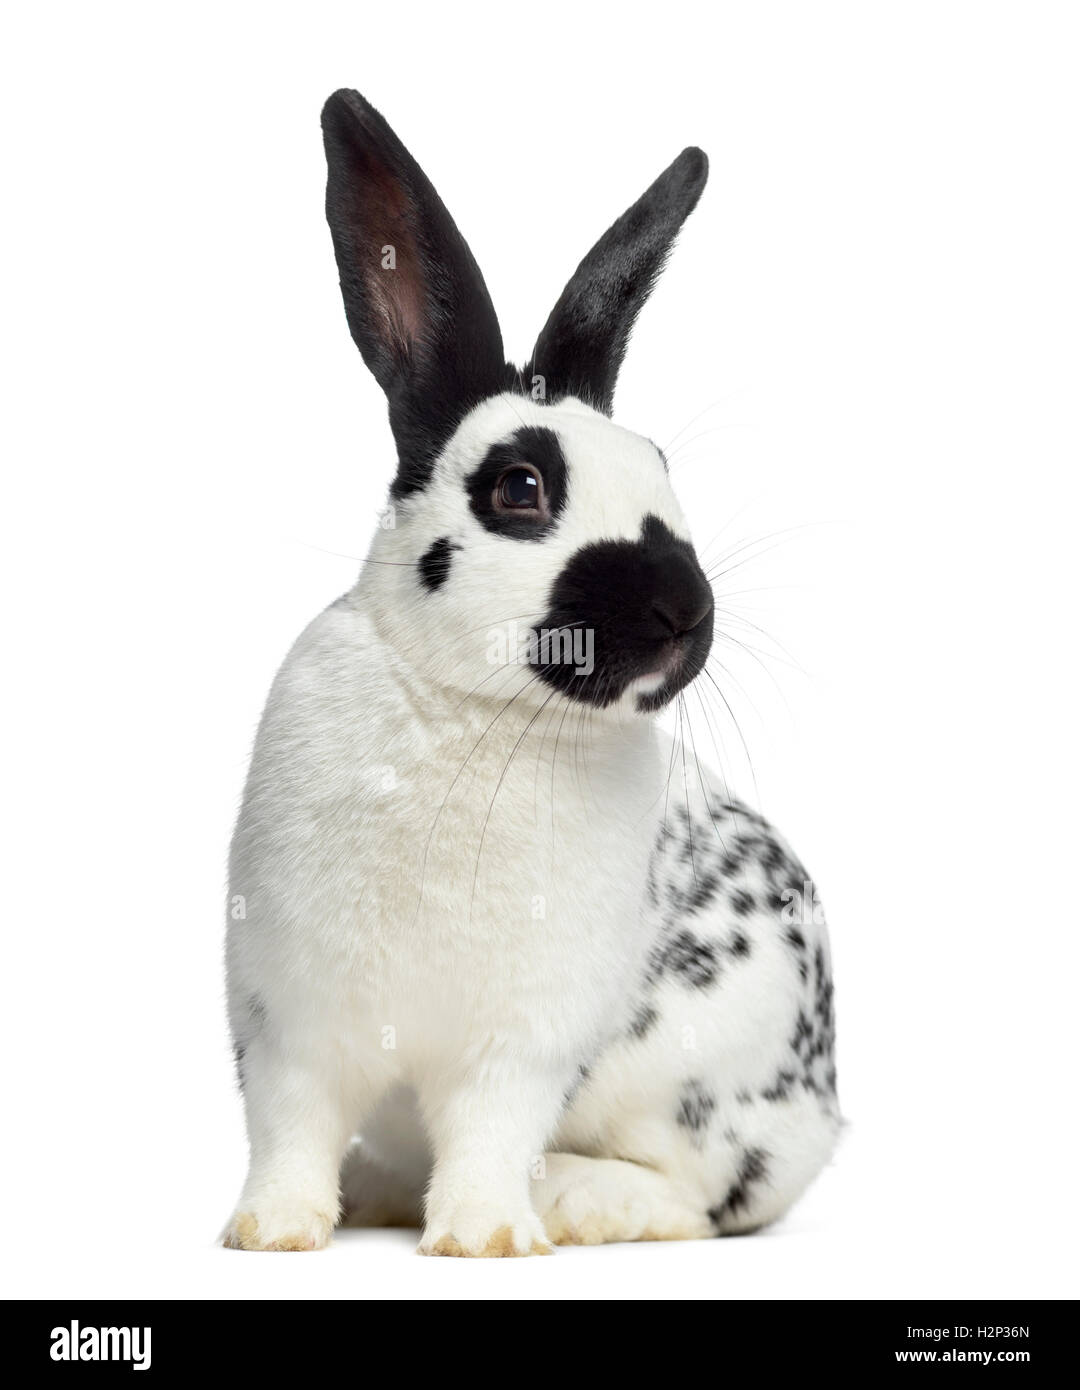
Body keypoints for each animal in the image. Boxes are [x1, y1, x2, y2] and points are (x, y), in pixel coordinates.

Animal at [223, 88, 840, 1257]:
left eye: (662, 472)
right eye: (519, 487)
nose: (685, 611)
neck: (468, 710)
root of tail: (824, 1110)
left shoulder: (519, 1042)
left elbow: (490, 1131)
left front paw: (483, 1238)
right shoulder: (288, 1018)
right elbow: (290, 1128)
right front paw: (272, 1232)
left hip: (700, 1086)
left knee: (705, 1197)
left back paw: (577, 1199)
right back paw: (377, 1189)